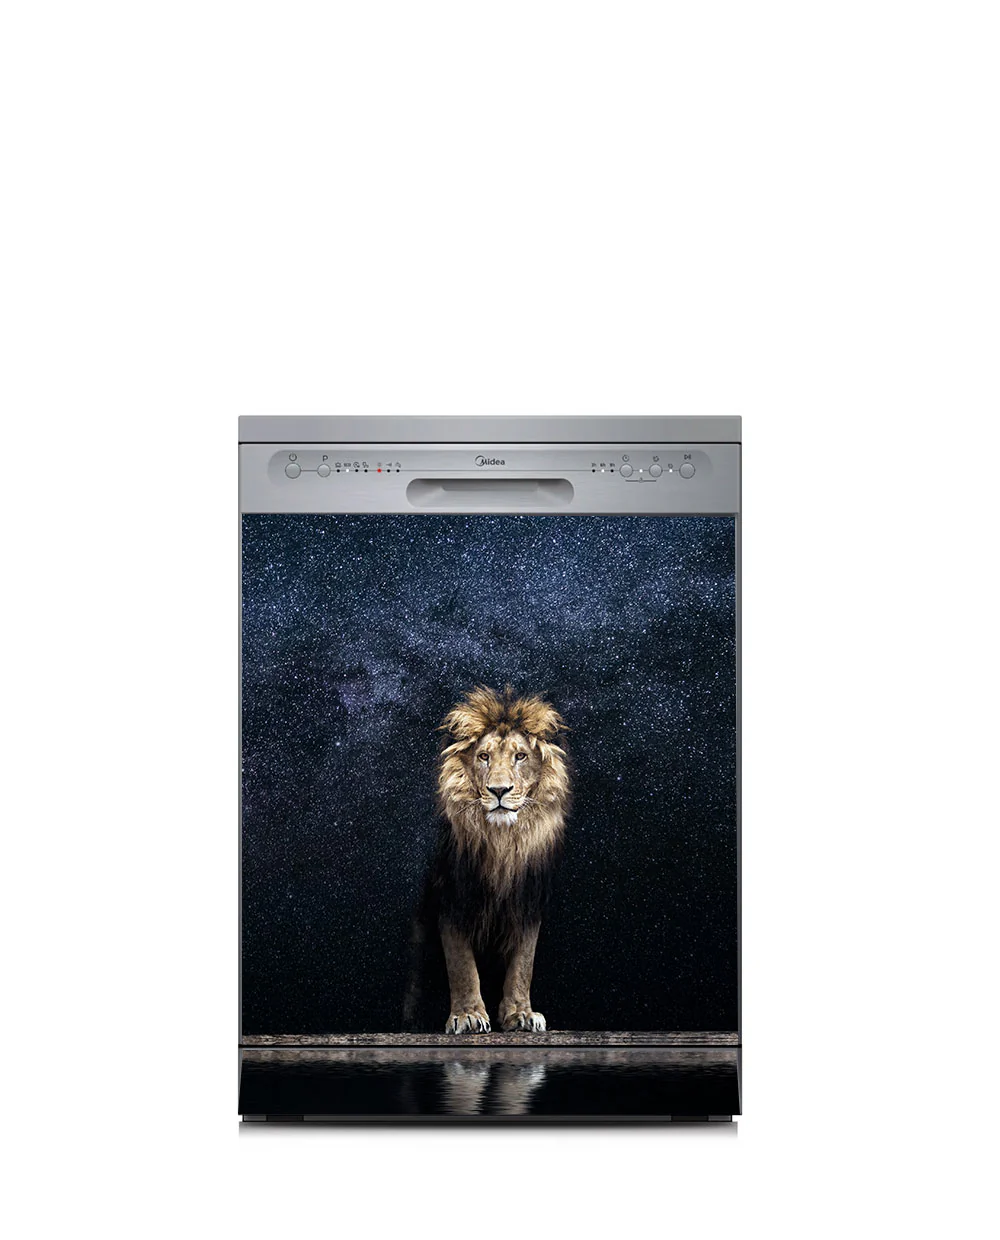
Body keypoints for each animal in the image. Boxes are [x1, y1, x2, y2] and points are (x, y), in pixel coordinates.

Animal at [431, 685, 570, 1034]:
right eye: (484, 757)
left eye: (520, 756)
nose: (498, 790)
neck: (502, 842)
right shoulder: (453, 897)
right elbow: (461, 964)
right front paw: (467, 1015)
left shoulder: (528, 902)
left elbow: (523, 964)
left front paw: (521, 1013)